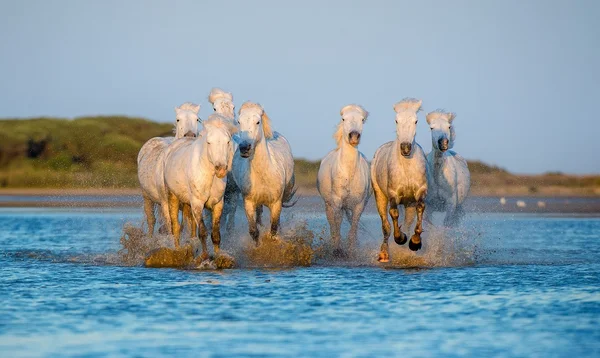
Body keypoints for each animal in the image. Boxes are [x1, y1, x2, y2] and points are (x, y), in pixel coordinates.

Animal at [137, 101, 200, 235]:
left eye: (197, 119)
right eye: (178, 119)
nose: (190, 135)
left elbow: (190, 227)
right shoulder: (166, 202)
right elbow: (171, 227)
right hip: (147, 197)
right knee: (152, 221)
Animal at [162, 113, 237, 256]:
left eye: (227, 142)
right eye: (209, 142)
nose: (221, 169)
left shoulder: (218, 204)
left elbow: (215, 234)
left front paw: (218, 255)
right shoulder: (197, 204)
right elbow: (202, 232)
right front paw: (205, 257)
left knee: (190, 226)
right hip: (172, 197)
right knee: (175, 226)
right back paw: (177, 249)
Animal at [231, 102, 296, 245]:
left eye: (257, 122)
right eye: (239, 121)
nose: (244, 148)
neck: (264, 175)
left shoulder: (276, 203)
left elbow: (273, 230)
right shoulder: (249, 202)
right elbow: (254, 232)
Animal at [316, 105, 372, 256]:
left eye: (362, 119)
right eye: (343, 119)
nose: (354, 136)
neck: (349, 174)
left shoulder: (359, 205)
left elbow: (353, 229)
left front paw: (352, 251)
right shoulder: (337, 203)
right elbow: (337, 226)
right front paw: (337, 250)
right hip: (328, 205)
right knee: (332, 225)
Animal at [370, 98, 426, 262]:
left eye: (416, 121)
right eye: (396, 120)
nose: (405, 148)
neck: (406, 166)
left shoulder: (420, 191)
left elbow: (420, 208)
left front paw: (415, 242)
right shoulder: (393, 193)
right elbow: (393, 213)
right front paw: (400, 238)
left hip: (408, 203)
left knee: (408, 221)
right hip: (379, 195)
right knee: (385, 225)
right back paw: (384, 254)